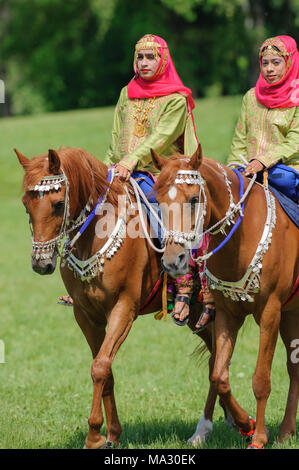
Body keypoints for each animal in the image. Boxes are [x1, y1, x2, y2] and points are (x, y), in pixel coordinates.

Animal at [15, 146, 244, 448]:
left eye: (57, 204)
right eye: (25, 205)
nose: (41, 264)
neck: (96, 236)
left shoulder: (123, 309)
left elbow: (100, 366)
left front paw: (94, 435)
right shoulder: (86, 316)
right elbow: (104, 368)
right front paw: (111, 434)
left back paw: (209, 428)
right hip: (199, 317)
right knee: (215, 360)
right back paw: (222, 422)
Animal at [152, 145, 299, 450]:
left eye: (194, 198)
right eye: (158, 201)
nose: (173, 260)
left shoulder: (270, 312)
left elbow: (261, 379)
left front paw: (259, 438)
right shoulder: (226, 314)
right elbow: (219, 375)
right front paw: (246, 424)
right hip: (292, 313)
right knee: (295, 369)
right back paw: (286, 432)